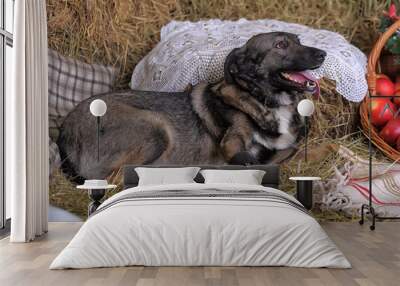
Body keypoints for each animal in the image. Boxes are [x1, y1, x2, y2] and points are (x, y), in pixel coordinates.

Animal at [57, 32, 324, 180]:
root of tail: (63, 133)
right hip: (156, 127)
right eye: (280, 45)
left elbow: (293, 152)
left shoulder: (286, 147)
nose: (323, 54)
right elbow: (248, 158)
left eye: (298, 41)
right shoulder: (233, 143)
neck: (266, 101)